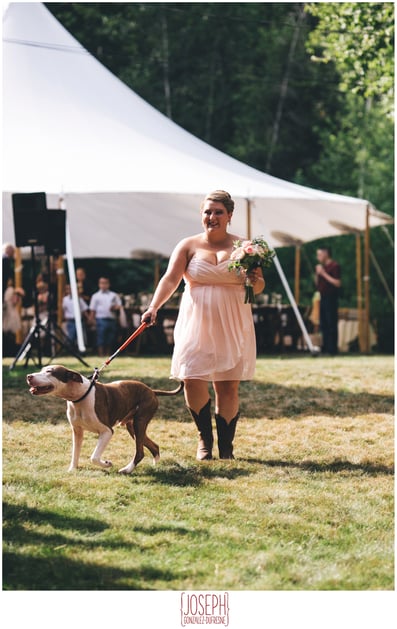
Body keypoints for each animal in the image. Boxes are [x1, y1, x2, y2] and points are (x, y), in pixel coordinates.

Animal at [25, 366, 183, 474]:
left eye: (49, 371)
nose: (29, 376)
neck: (80, 396)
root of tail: (151, 390)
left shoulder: (106, 431)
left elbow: (94, 457)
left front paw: (107, 464)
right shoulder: (77, 432)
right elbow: (75, 453)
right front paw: (72, 469)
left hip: (140, 422)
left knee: (140, 452)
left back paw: (127, 470)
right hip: (133, 427)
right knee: (153, 446)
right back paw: (155, 464)